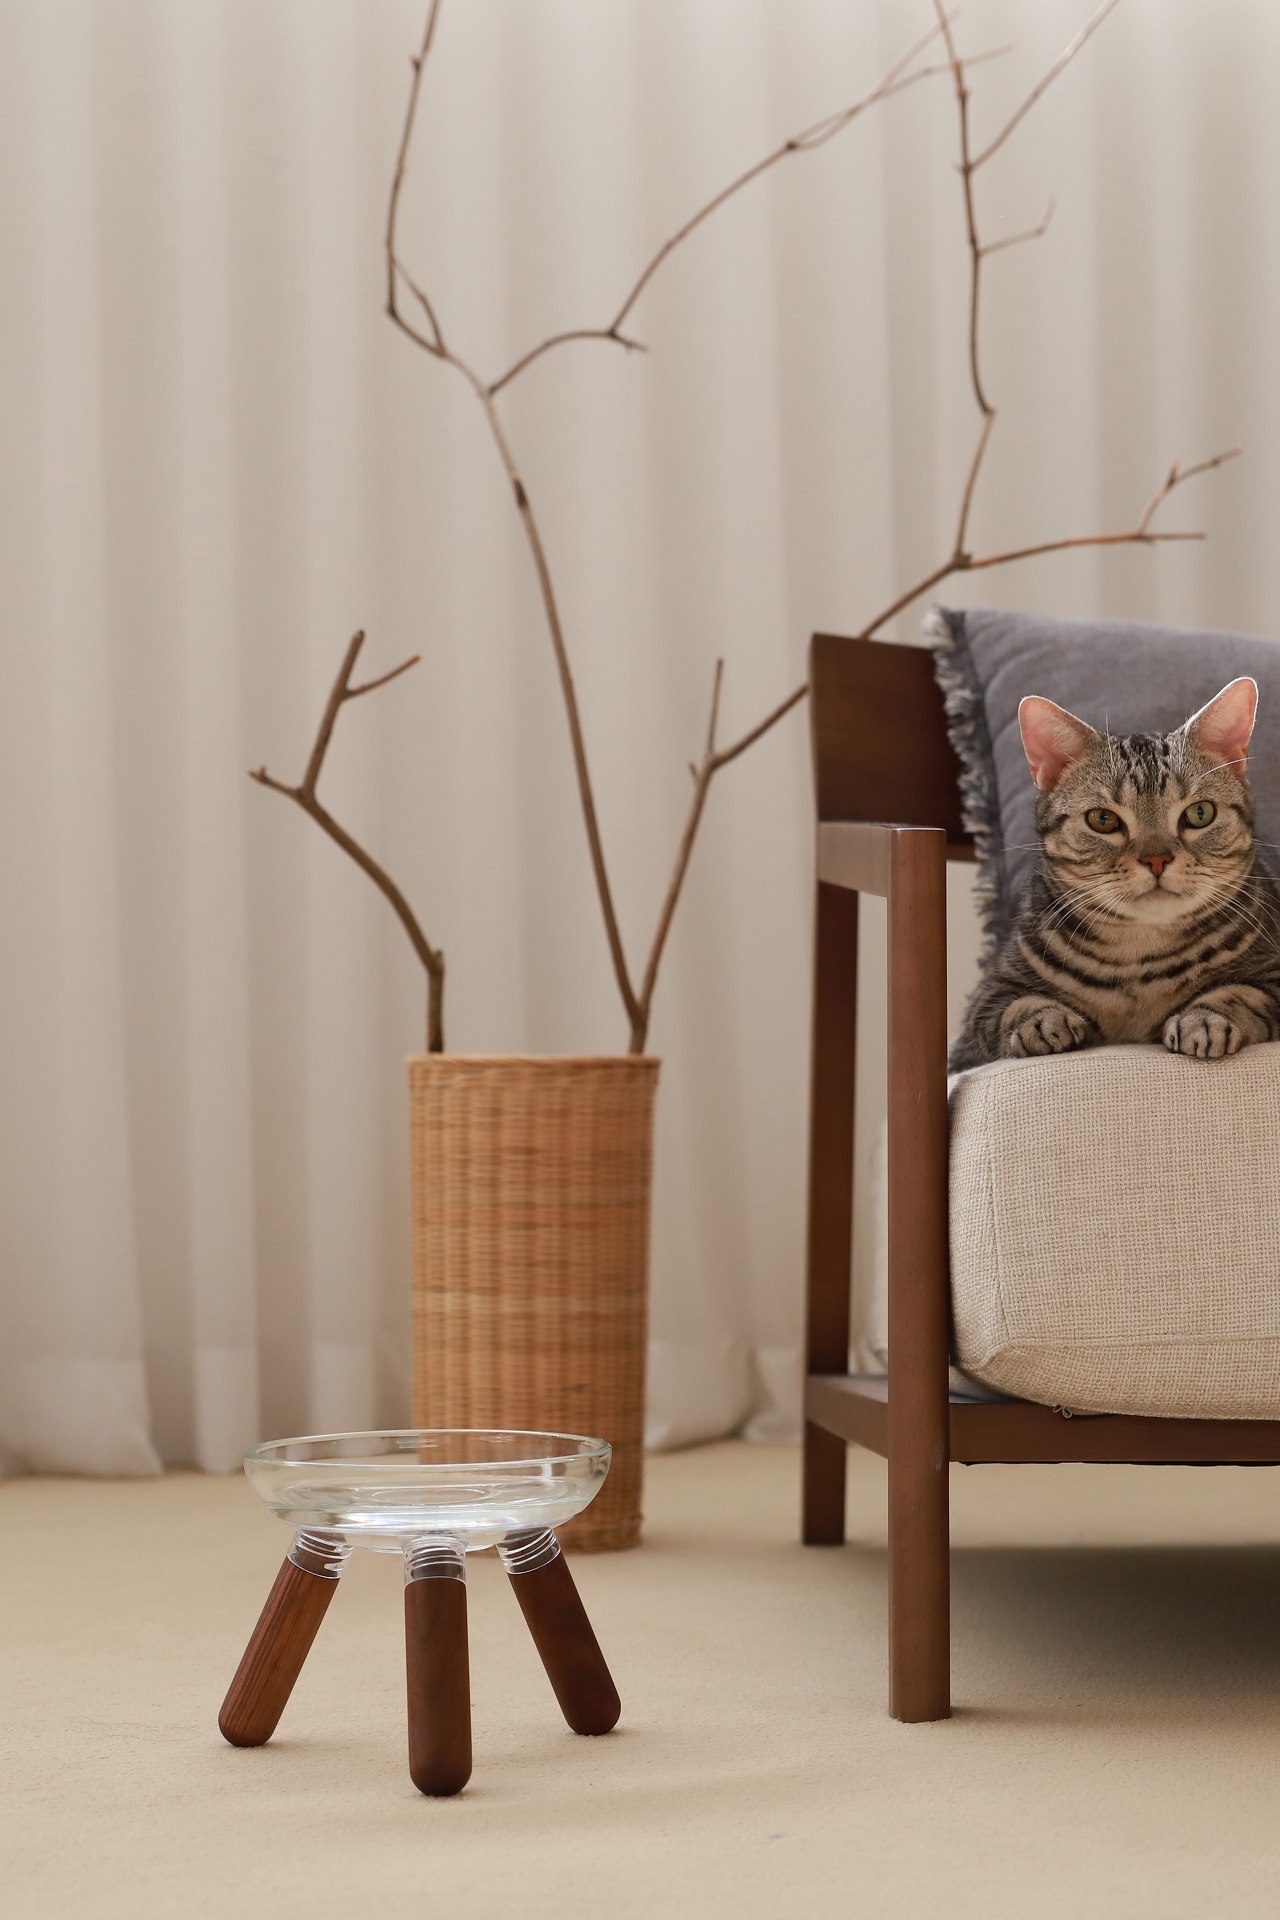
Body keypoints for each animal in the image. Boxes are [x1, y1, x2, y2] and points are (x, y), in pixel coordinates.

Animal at [948, 675, 1280, 1075]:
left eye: (1200, 813)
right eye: (1103, 819)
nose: (1157, 859)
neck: (1138, 960)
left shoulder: (1274, 979)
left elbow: (1240, 993)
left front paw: (1205, 1019)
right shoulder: (985, 1001)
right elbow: (1015, 1005)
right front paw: (1044, 1021)